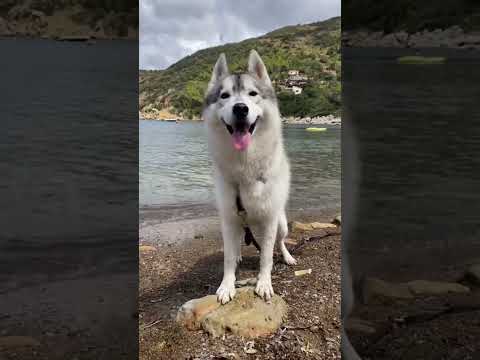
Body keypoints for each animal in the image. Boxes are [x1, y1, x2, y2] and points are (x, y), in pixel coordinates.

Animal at [201, 50, 294, 304]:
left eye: (253, 94)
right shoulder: (229, 218)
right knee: (238, 244)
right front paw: (226, 285)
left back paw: (287, 256)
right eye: (224, 95)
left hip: (281, 223)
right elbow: (228, 258)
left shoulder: (270, 220)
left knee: (279, 242)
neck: (245, 166)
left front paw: (264, 283)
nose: (240, 108)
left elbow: (267, 258)